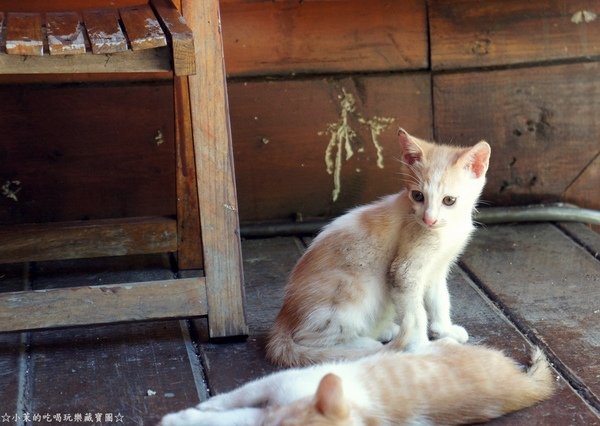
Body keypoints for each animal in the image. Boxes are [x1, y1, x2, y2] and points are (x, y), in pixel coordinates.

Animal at [264, 127, 490, 366]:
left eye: (449, 201)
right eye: (417, 196)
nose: (429, 219)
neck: (447, 229)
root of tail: (284, 317)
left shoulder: (437, 269)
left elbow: (440, 300)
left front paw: (444, 329)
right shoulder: (405, 271)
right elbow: (417, 315)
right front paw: (422, 348)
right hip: (354, 290)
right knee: (310, 339)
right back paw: (366, 345)